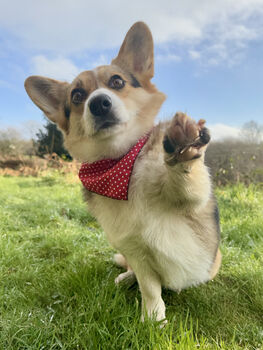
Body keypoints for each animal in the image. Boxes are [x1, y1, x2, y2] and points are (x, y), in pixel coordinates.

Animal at [25, 21, 223, 322]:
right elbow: (150, 287)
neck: (121, 164)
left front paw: (182, 150)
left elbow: (186, 181)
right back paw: (126, 278)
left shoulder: (191, 199)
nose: (99, 103)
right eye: (77, 96)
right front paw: (153, 319)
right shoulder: (136, 249)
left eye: (117, 82)